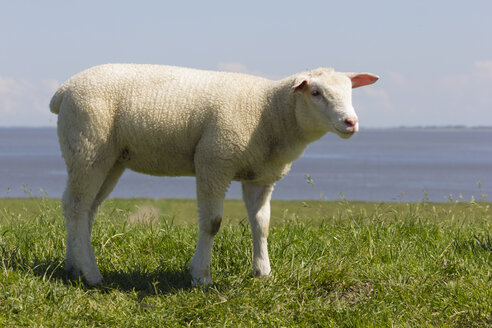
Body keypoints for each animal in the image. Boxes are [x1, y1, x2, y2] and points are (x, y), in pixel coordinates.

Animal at [50, 62, 378, 286]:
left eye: (350, 92)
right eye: (316, 92)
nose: (350, 122)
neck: (270, 111)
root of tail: (64, 89)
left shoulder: (260, 176)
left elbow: (262, 224)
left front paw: (263, 272)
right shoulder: (214, 161)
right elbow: (212, 223)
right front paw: (201, 276)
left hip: (111, 158)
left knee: (84, 209)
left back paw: (74, 265)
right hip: (88, 147)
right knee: (76, 206)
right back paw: (91, 274)